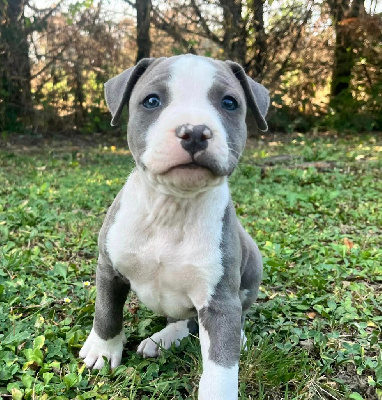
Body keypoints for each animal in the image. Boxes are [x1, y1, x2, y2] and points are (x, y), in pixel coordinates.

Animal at [79, 54, 270, 400]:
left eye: (229, 103)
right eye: (152, 101)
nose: (194, 131)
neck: (171, 206)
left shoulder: (219, 302)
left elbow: (221, 367)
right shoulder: (108, 268)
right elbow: (107, 311)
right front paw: (102, 349)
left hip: (252, 267)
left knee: (219, 318)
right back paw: (162, 339)